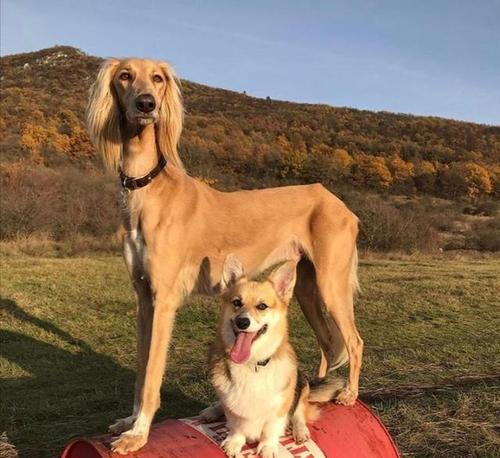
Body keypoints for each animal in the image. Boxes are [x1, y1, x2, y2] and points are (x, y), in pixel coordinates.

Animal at [201, 256, 346, 456]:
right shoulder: (233, 407)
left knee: (299, 414)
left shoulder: (280, 408)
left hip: (302, 387)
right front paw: (234, 443)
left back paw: (300, 431)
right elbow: (236, 426)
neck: (252, 363)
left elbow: (270, 430)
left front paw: (267, 448)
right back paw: (211, 412)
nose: (242, 322)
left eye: (262, 306)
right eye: (236, 302)